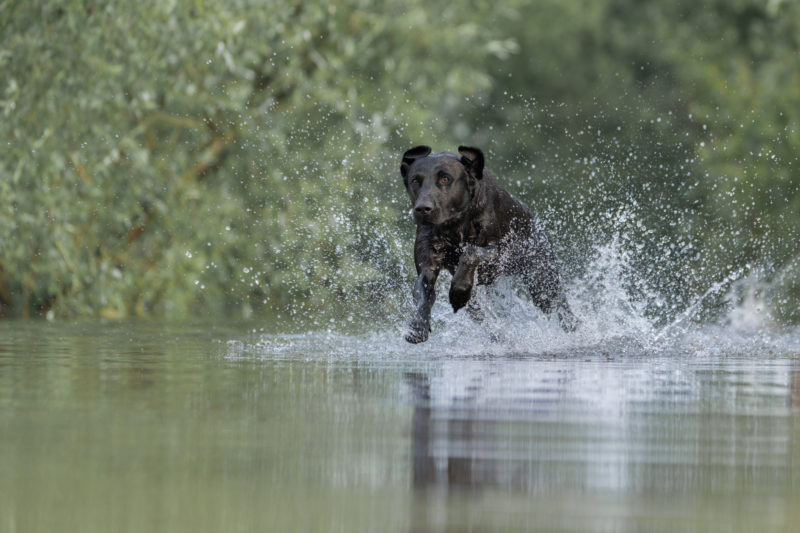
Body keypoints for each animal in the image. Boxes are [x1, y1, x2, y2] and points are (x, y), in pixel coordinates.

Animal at [404, 143, 580, 342]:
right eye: (415, 181)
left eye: (445, 179)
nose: (423, 209)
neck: (455, 227)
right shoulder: (427, 263)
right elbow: (422, 293)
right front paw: (417, 326)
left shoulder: (500, 251)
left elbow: (472, 252)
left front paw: (459, 289)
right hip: (477, 305)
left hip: (542, 283)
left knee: (561, 308)